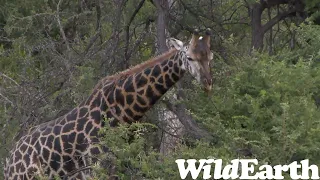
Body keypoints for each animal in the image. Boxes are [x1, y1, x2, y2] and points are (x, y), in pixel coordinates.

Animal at [3, 28, 212, 179]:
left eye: (210, 57)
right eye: (189, 57)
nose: (208, 82)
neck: (123, 113)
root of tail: (8, 162)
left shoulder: (121, 163)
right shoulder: (94, 167)